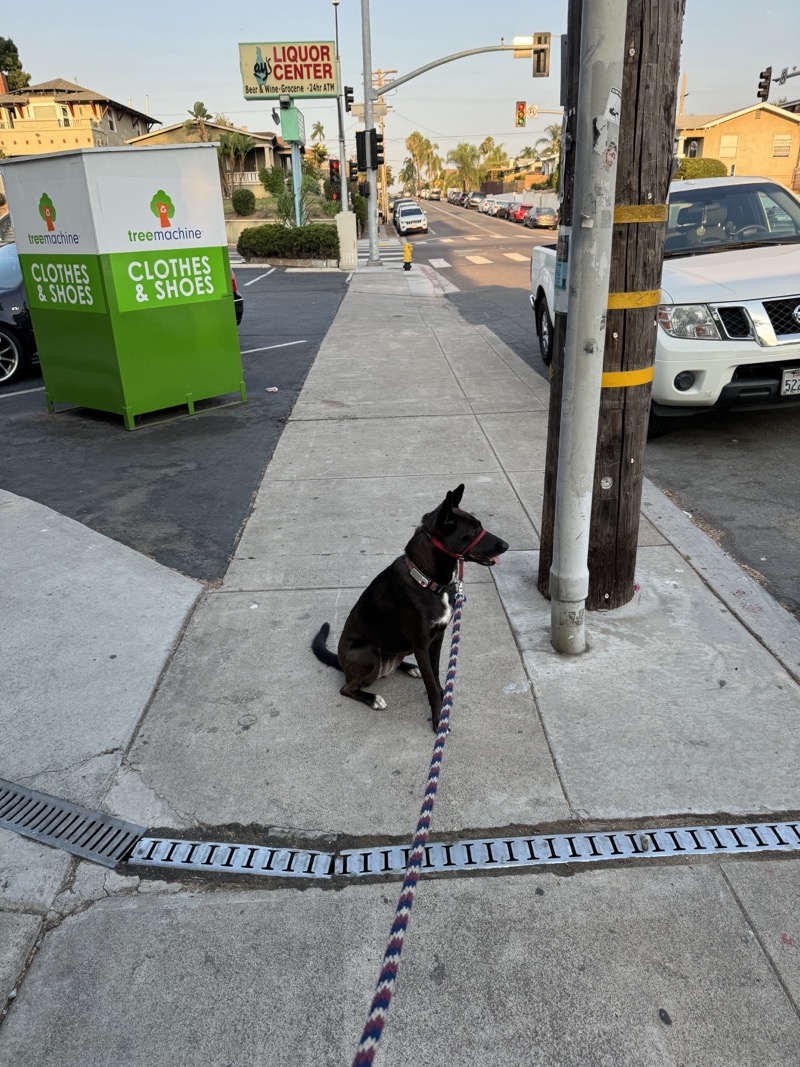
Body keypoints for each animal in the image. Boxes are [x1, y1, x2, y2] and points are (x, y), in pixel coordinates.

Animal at [311, 486, 507, 729]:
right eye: (473, 531)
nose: (506, 546)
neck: (428, 581)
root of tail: (340, 661)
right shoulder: (421, 643)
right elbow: (430, 685)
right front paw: (438, 718)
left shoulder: (438, 637)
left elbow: (435, 671)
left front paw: (443, 696)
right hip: (369, 652)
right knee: (347, 687)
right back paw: (372, 698)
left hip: (403, 647)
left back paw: (409, 667)